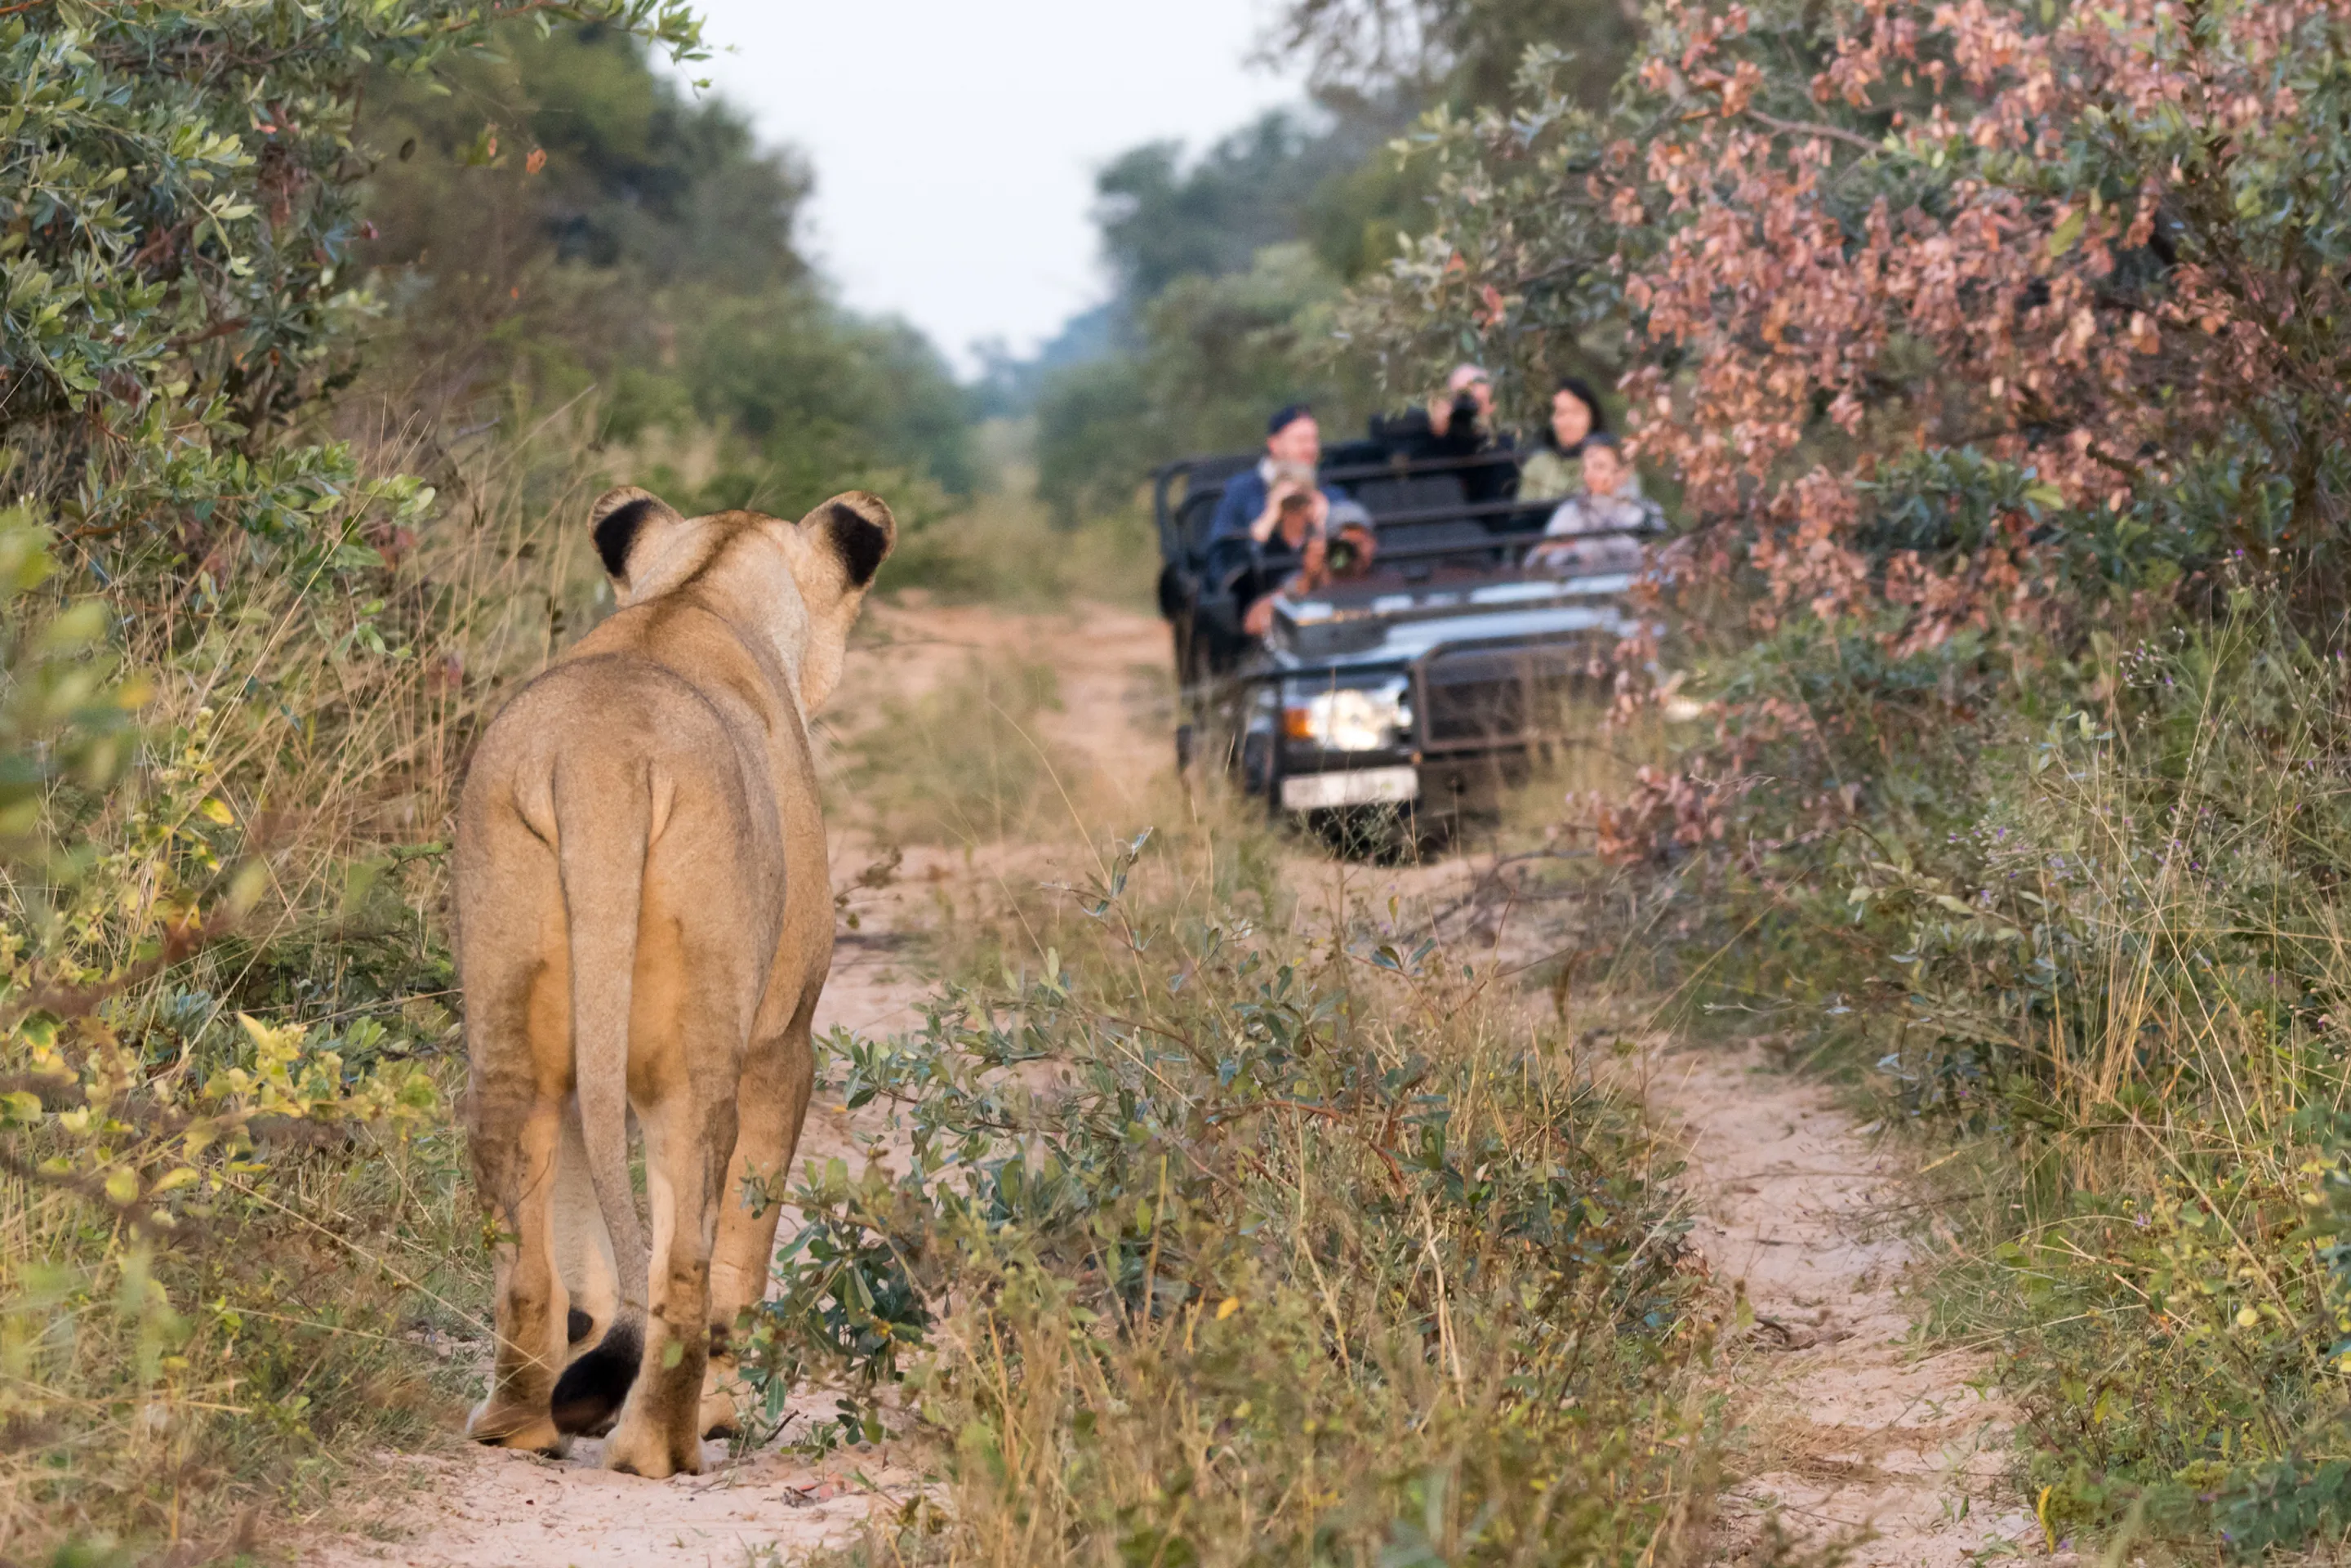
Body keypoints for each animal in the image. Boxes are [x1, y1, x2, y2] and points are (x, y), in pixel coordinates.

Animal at [452, 485, 893, 1478]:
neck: (699, 589)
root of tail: (601, 759)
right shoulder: (783, 1043)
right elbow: (744, 1252)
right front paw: (728, 1413)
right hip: (701, 1060)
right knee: (688, 1262)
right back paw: (665, 1445)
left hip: (511, 1032)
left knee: (527, 1254)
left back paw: (521, 1424)